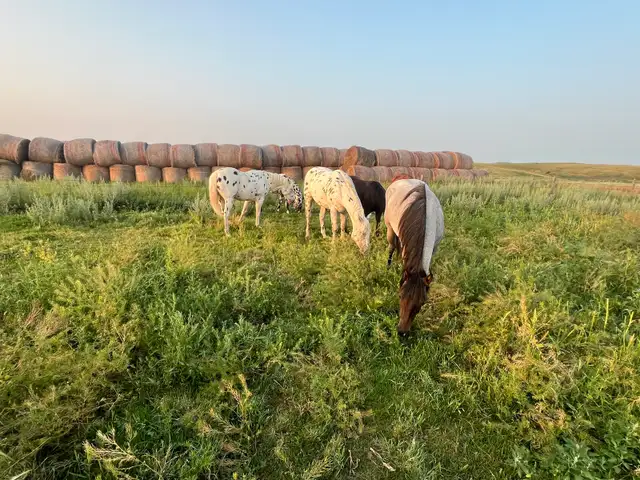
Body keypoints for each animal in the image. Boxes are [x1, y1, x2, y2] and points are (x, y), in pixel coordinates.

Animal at [385, 178, 444, 334]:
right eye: (400, 295)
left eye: (422, 302)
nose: (402, 332)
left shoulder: (434, 248)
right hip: (390, 229)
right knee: (391, 248)